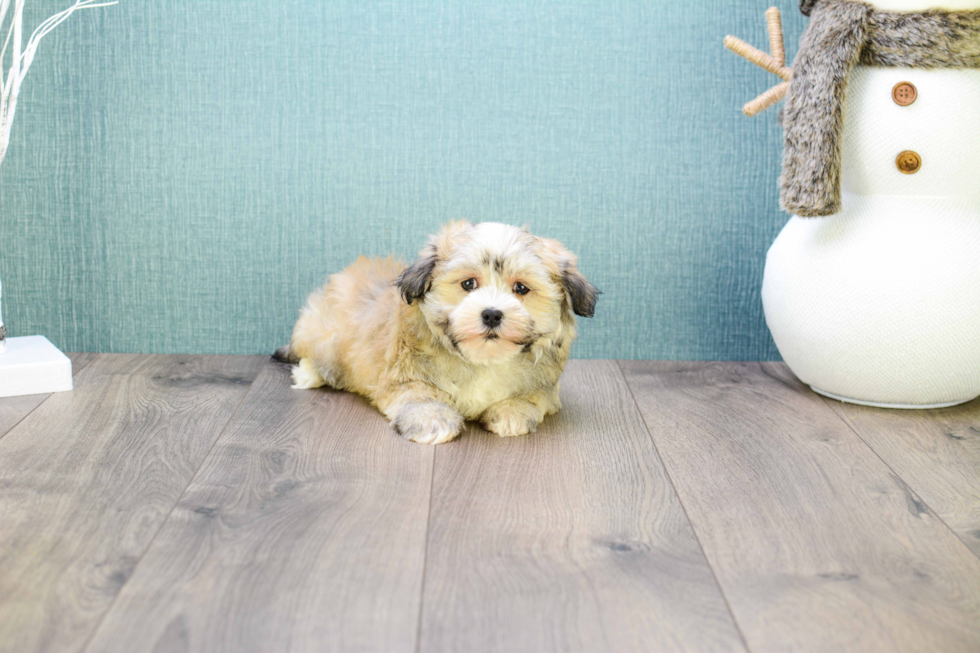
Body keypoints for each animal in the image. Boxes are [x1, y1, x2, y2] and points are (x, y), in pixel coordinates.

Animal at [274, 220, 596, 444]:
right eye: (468, 284)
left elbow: (531, 397)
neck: (484, 360)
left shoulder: (546, 387)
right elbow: (421, 396)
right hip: (326, 337)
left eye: (521, 288)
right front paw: (433, 419)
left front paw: (511, 412)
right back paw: (308, 374)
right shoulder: (404, 377)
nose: (492, 314)